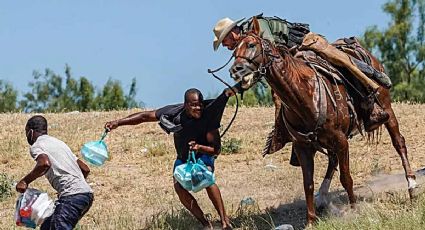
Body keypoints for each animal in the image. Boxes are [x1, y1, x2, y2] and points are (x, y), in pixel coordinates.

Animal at [229, 17, 418, 225]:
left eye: (251, 45)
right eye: (234, 51)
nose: (236, 70)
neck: (305, 95)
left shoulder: (341, 141)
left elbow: (346, 178)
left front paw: (354, 210)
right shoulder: (303, 146)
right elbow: (308, 184)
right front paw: (311, 221)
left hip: (387, 109)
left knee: (399, 143)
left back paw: (412, 186)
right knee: (332, 160)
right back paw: (322, 197)